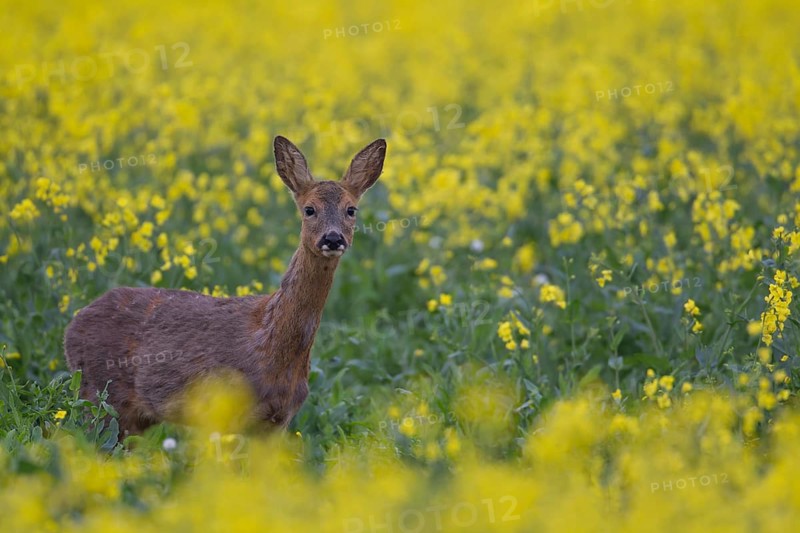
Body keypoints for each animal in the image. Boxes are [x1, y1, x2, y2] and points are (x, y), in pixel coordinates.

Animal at [64, 136, 387, 435]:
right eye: (309, 209)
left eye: (351, 210)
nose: (332, 238)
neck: (268, 342)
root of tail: (72, 325)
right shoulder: (223, 411)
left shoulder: (278, 420)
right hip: (101, 398)